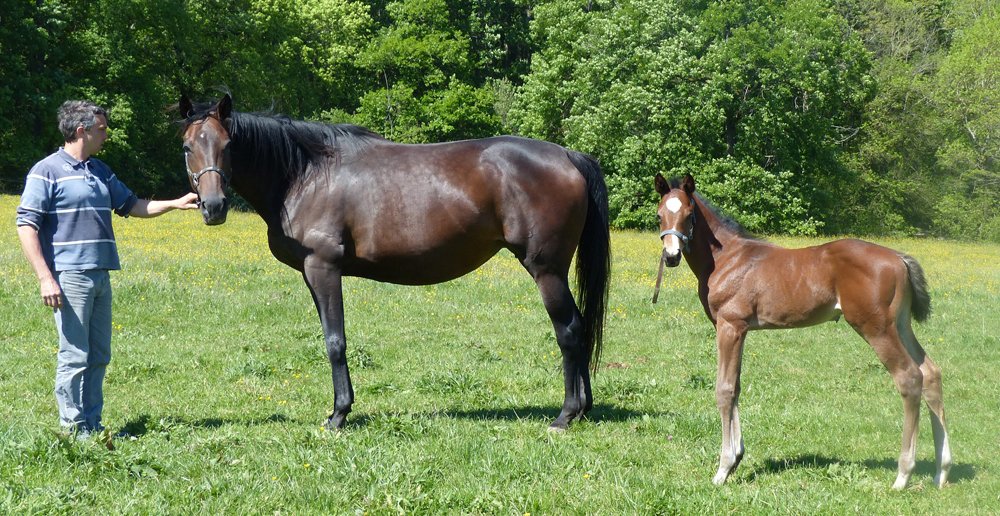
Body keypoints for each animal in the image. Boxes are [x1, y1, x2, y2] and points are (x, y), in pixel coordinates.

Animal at [176, 93, 610, 432]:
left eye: (228, 144)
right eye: (187, 146)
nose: (213, 207)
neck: (305, 175)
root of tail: (568, 155)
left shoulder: (323, 268)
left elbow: (335, 341)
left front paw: (339, 415)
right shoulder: (312, 274)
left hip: (546, 270)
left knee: (569, 330)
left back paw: (565, 415)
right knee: (580, 327)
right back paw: (583, 410)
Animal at [652, 173, 951, 489]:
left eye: (689, 215)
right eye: (659, 215)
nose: (671, 256)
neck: (725, 258)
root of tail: (899, 258)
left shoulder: (730, 326)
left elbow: (724, 389)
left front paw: (723, 469)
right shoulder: (740, 330)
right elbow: (737, 387)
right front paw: (736, 459)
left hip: (876, 328)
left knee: (909, 377)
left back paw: (903, 475)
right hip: (901, 325)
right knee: (931, 373)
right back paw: (941, 471)